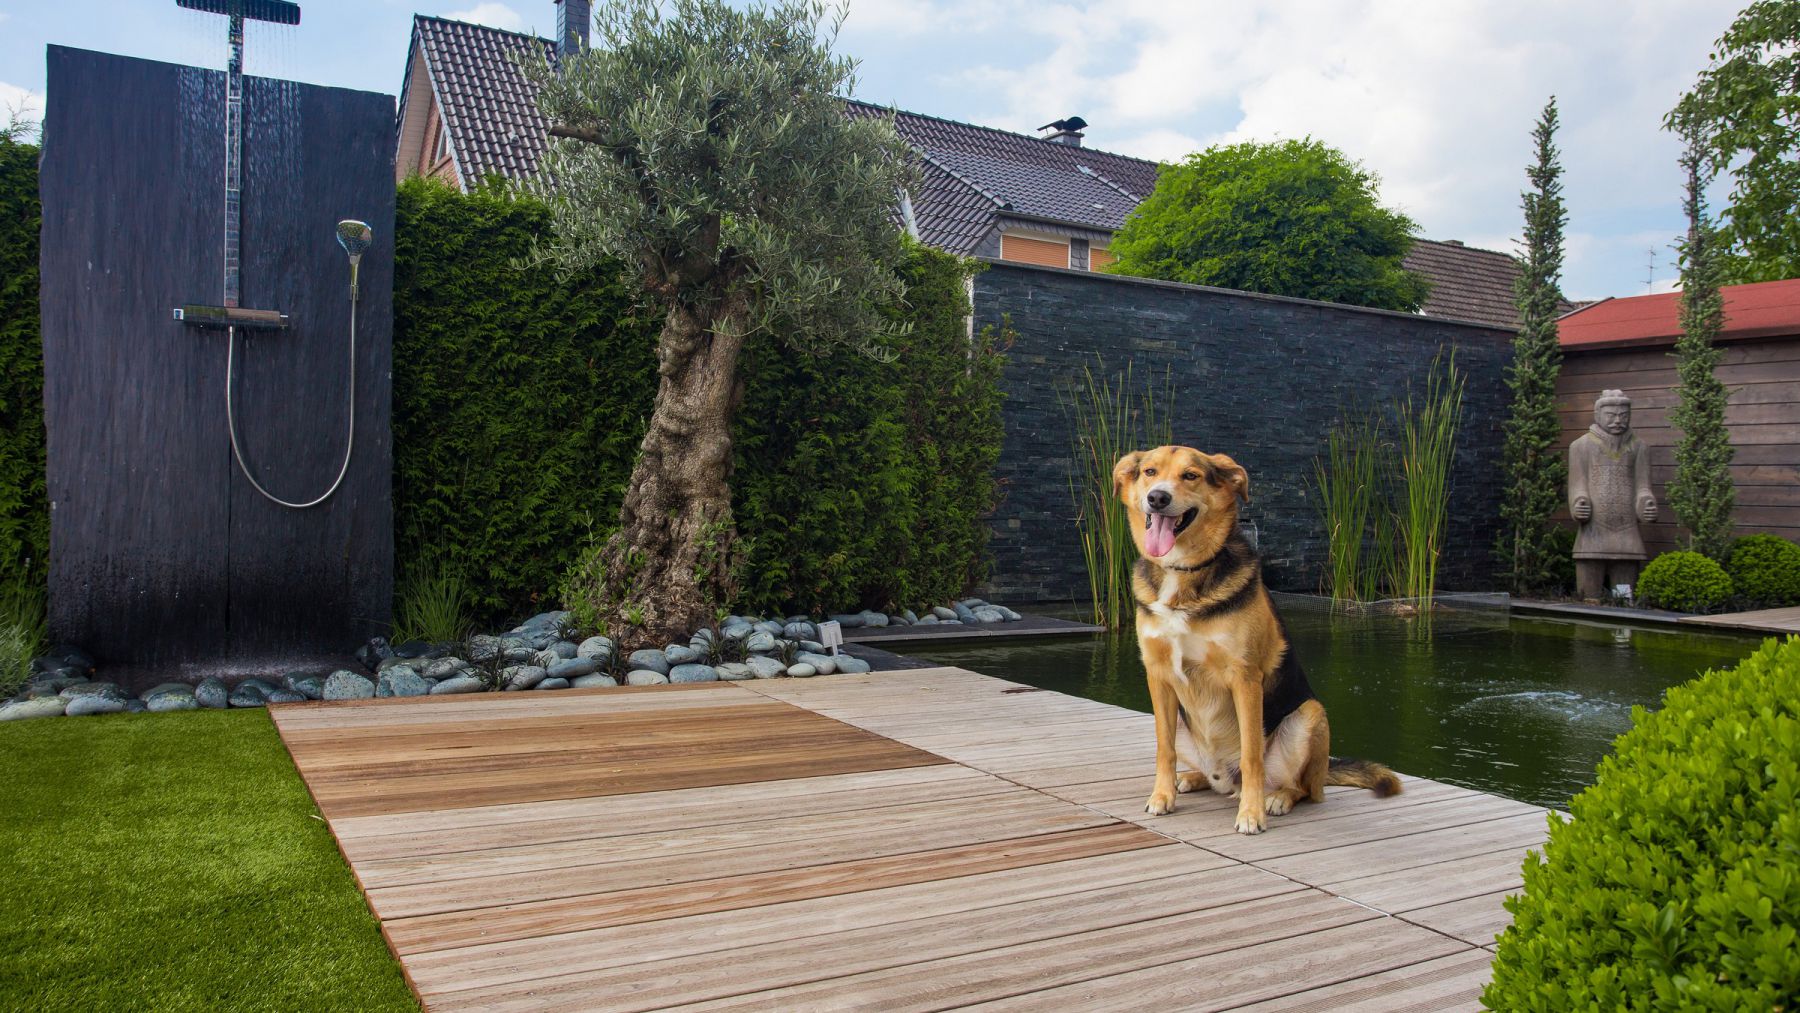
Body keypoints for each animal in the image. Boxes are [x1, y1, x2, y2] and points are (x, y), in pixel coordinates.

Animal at [1108, 444, 1404, 831]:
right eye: (1150, 472)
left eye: (1190, 475)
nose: (1158, 498)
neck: (1184, 573)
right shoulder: (1158, 675)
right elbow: (1164, 748)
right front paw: (1162, 796)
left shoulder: (1244, 678)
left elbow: (1252, 757)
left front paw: (1251, 814)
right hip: (1187, 725)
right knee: (1209, 774)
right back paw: (1192, 778)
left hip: (1310, 715)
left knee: (1302, 788)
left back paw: (1276, 798)